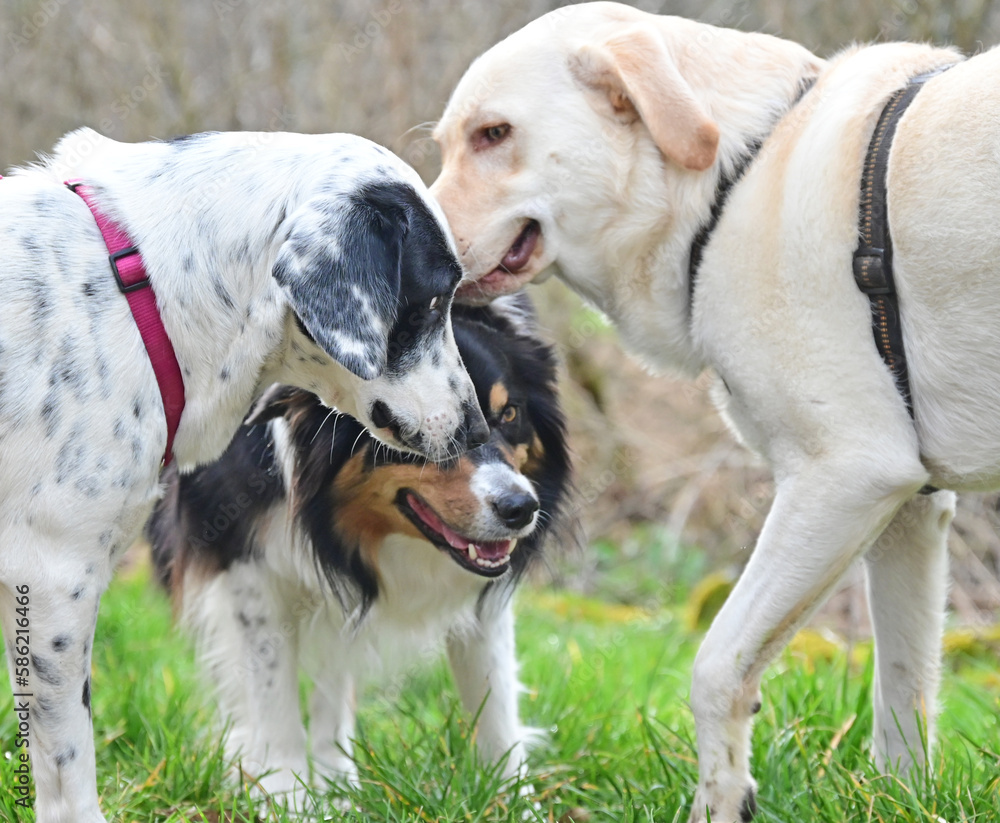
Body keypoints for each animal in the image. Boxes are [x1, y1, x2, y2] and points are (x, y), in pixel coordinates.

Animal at [147, 292, 572, 808]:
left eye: (510, 414)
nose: (521, 508)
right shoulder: (244, 565)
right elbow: (271, 693)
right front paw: (287, 800)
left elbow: (495, 698)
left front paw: (515, 802)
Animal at [432, 3, 1000, 820]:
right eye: (449, 144)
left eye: (494, 134)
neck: (735, 181)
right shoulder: (911, 512)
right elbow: (902, 697)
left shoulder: (844, 479)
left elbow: (717, 666)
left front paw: (721, 800)